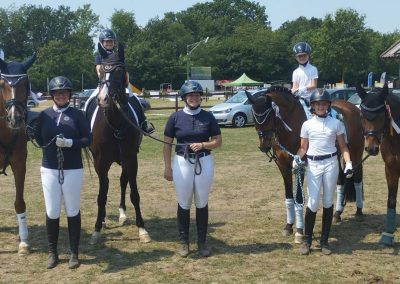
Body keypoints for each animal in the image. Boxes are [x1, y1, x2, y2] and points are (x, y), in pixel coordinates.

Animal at [245, 86, 364, 242]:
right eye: (254, 117)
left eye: (269, 116)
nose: (264, 145)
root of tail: (353, 107)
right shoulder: (283, 167)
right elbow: (289, 197)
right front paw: (288, 226)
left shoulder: (300, 166)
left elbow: (299, 198)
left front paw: (300, 231)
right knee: (340, 181)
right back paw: (337, 214)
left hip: (355, 154)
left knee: (358, 179)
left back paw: (359, 211)